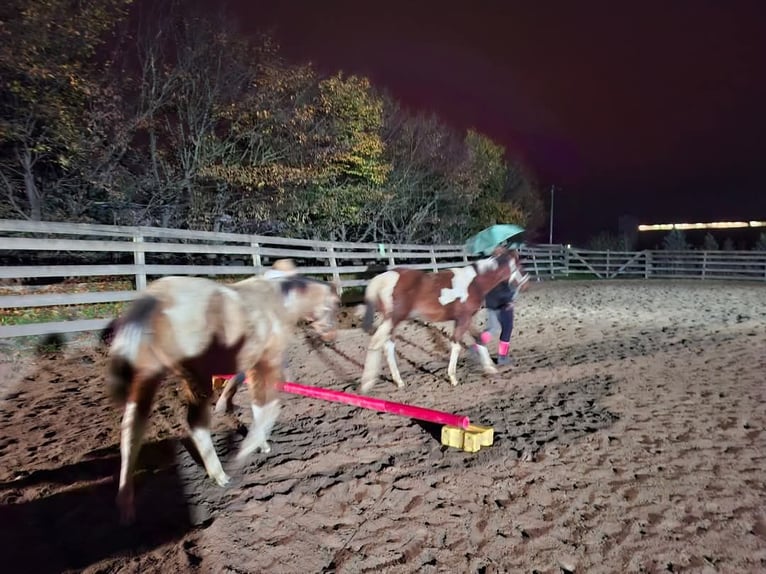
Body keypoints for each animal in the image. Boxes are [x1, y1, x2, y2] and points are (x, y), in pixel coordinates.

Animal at [107, 274, 340, 528]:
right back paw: (220, 475)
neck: (277, 303)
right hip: (196, 378)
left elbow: (244, 393)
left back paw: (125, 505)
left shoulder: (247, 364)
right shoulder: (265, 363)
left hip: (148, 374)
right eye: (333, 306)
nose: (331, 336)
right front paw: (254, 446)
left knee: (131, 430)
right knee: (195, 424)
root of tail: (153, 298)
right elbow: (266, 407)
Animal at [360, 251, 528, 392]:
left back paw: (399, 382)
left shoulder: (465, 318)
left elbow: (479, 338)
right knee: (376, 343)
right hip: (393, 319)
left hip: (392, 322)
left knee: (388, 346)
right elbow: (456, 344)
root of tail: (382, 279)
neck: (475, 282)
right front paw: (453, 378)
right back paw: (367, 384)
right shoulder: (464, 319)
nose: (525, 284)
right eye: (520, 264)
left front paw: (490, 368)